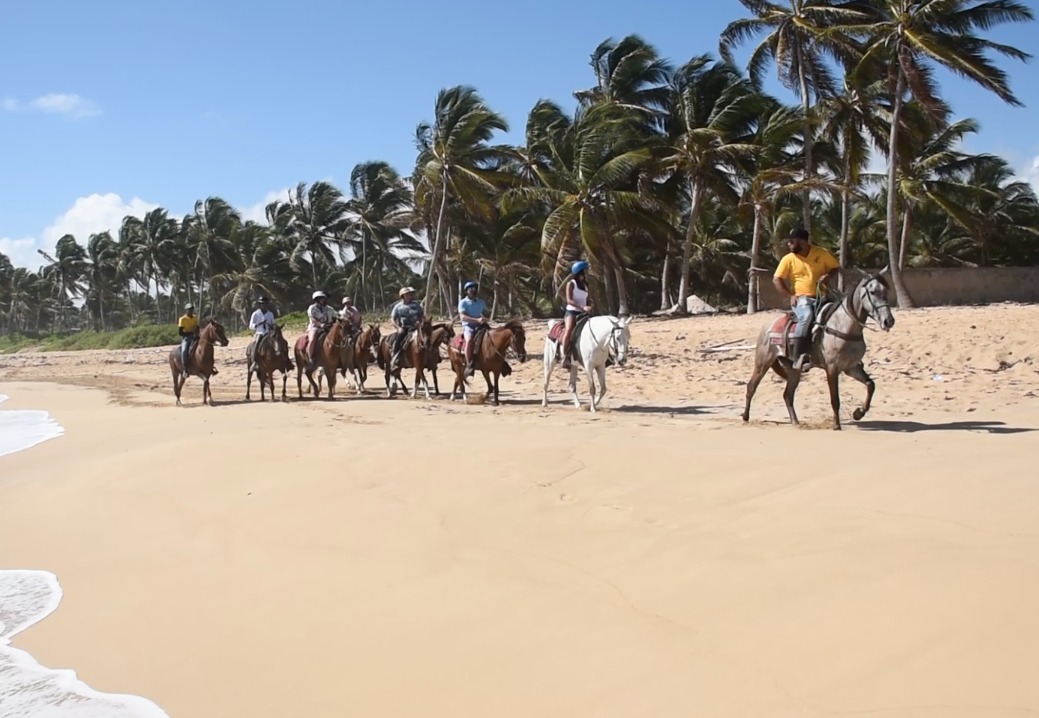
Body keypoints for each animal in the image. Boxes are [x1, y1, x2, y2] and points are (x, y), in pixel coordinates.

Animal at [742, 271, 896, 430]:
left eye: (885, 291)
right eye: (872, 292)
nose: (888, 321)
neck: (843, 326)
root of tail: (768, 326)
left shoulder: (851, 367)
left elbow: (870, 385)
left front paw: (858, 413)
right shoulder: (832, 368)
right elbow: (835, 398)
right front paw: (836, 425)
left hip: (793, 370)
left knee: (787, 395)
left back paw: (795, 421)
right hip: (763, 362)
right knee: (751, 387)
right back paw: (745, 417)